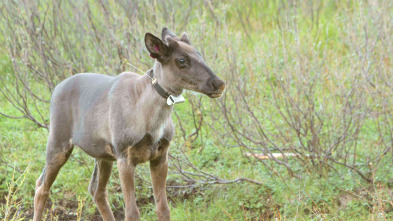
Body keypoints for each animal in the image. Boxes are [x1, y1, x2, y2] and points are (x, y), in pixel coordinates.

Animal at [32, 28, 225, 221]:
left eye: (199, 54)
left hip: (103, 155)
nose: (219, 83)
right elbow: (132, 212)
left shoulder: (160, 156)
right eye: (182, 60)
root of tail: (55, 89)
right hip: (59, 142)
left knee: (96, 190)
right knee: (41, 186)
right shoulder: (125, 156)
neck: (152, 122)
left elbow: (163, 208)